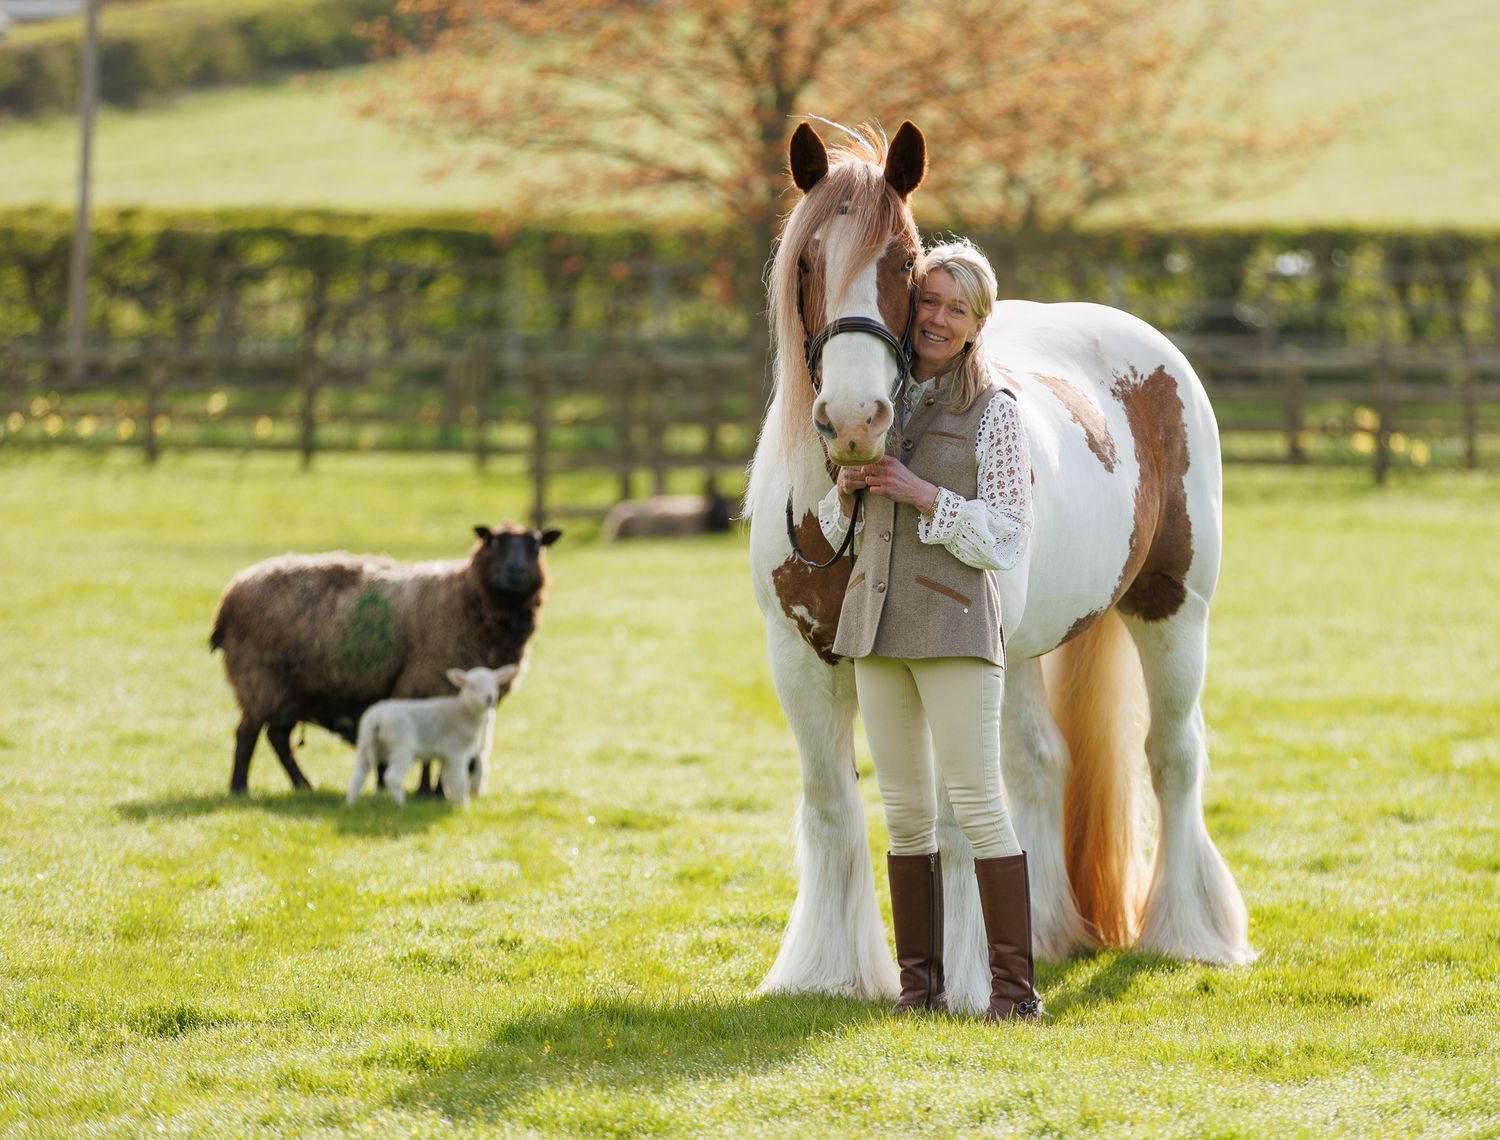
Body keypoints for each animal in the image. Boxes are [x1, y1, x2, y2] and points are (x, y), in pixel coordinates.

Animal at [745, 120, 1255, 1013]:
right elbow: (834, 804)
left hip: (1172, 611)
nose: (854, 420)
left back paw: (1189, 933)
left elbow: (953, 817)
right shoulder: (800, 659)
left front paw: (963, 975)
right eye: (806, 261)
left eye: (905, 263)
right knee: (1037, 763)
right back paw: (1047, 931)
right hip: (1014, 652)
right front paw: (828, 974)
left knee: (1172, 755)